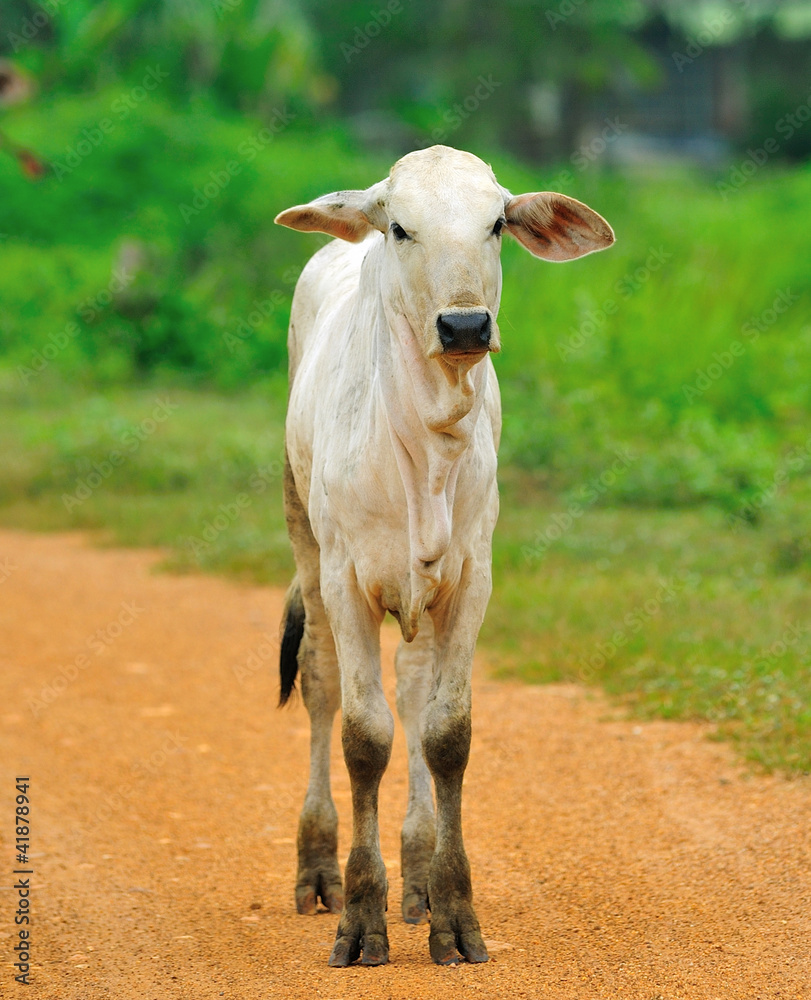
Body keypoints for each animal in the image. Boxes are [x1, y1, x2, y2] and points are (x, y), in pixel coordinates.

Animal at [274, 144, 614, 967]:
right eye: (401, 227)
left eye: (495, 224)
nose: (464, 324)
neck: (427, 438)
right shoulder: (348, 581)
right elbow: (364, 738)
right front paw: (361, 917)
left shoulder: (470, 581)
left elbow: (444, 734)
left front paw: (453, 913)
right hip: (304, 541)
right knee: (323, 687)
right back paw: (319, 870)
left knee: (414, 690)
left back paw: (420, 871)